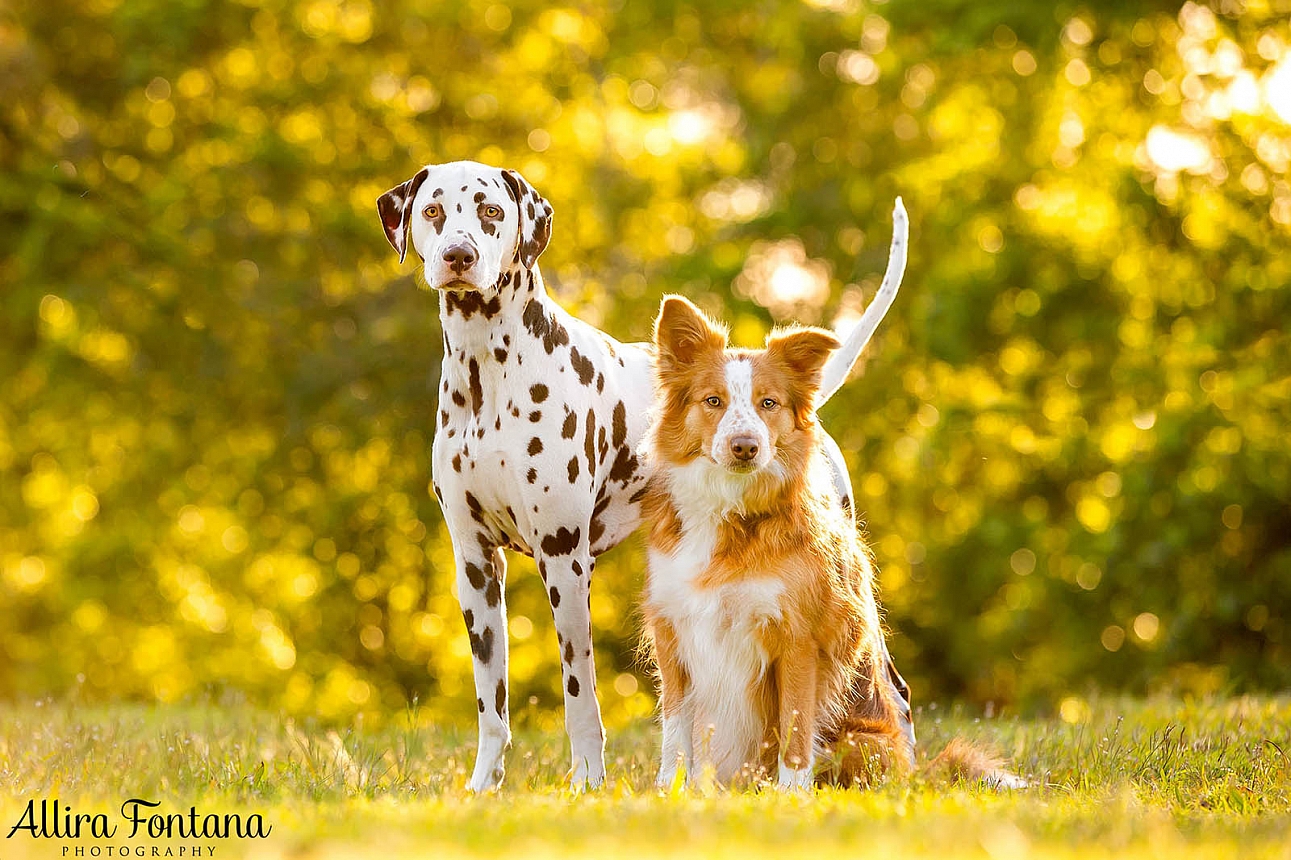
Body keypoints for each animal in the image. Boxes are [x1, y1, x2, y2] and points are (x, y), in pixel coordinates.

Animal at [376, 160, 914, 790]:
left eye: (490, 211)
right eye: (433, 210)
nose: (458, 256)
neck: (489, 375)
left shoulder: (565, 559)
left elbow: (580, 695)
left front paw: (587, 782)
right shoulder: (476, 564)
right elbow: (492, 704)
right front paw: (484, 784)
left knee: (894, 689)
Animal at [640, 296, 1022, 790]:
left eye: (769, 403)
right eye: (713, 401)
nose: (745, 446)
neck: (732, 511)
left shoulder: (797, 637)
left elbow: (795, 726)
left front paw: (790, 795)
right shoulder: (674, 631)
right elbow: (674, 730)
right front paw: (669, 791)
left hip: (863, 741)